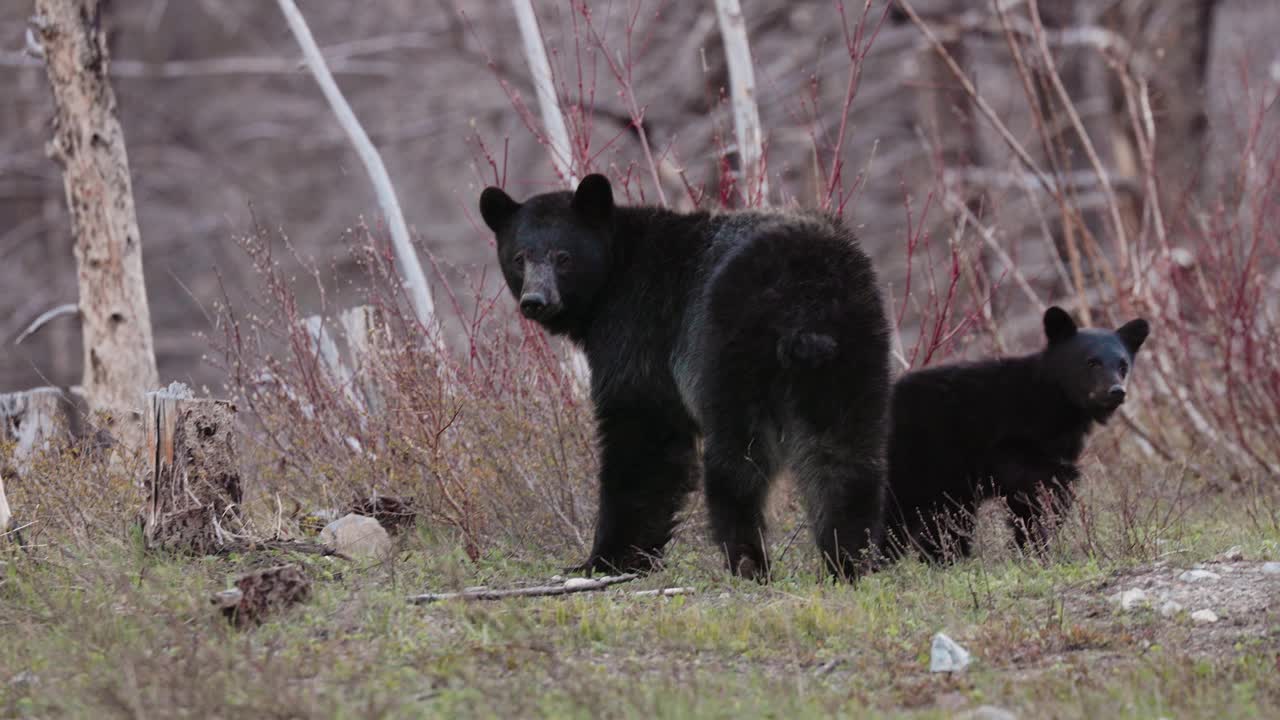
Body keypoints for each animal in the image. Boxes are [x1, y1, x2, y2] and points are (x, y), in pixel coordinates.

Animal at [481, 174, 890, 576]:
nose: (536, 301)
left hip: (730, 351)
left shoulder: (640, 331)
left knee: (737, 464)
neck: (614, 275)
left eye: (563, 257)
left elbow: (644, 437)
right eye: (519, 258)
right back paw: (849, 558)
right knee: (845, 457)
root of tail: (807, 297)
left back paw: (747, 561)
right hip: (853, 351)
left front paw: (604, 559)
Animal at [880, 302, 1152, 561]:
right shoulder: (1011, 437)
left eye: (1123, 365)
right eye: (1092, 362)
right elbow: (1033, 487)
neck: (1057, 399)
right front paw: (1032, 545)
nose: (1116, 391)